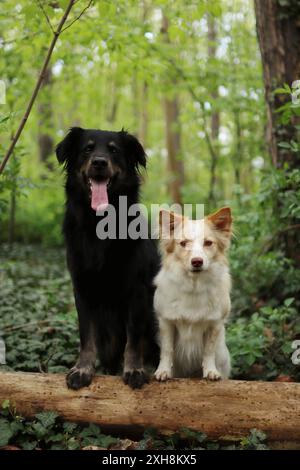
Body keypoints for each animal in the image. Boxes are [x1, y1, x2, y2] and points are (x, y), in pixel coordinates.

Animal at [56, 127, 159, 390]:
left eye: (113, 150)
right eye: (87, 148)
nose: (99, 162)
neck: (99, 224)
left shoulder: (137, 289)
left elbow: (133, 337)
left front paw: (134, 369)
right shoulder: (82, 287)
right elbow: (86, 335)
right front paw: (83, 369)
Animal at [154, 207, 233, 380]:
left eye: (208, 243)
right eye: (183, 244)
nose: (197, 261)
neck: (194, 285)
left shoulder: (215, 323)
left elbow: (209, 351)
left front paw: (210, 371)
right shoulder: (166, 321)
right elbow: (167, 350)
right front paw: (163, 371)